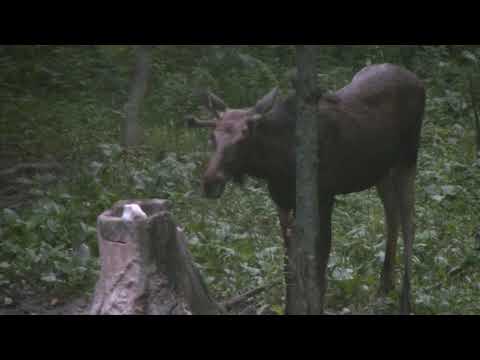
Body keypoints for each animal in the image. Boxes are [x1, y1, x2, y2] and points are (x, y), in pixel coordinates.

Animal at [186, 63, 426, 314]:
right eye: (212, 136)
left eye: (244, 136)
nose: (210, 181)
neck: (277, 164)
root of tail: (418, 80)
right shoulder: (281, 201)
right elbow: (289, 264)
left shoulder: (325, 197)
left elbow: (320, 262)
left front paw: (316, 307)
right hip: (382, 170)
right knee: (392, 216)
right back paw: (384, 287)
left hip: (408, 157)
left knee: (410, 221)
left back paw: (405, 299)